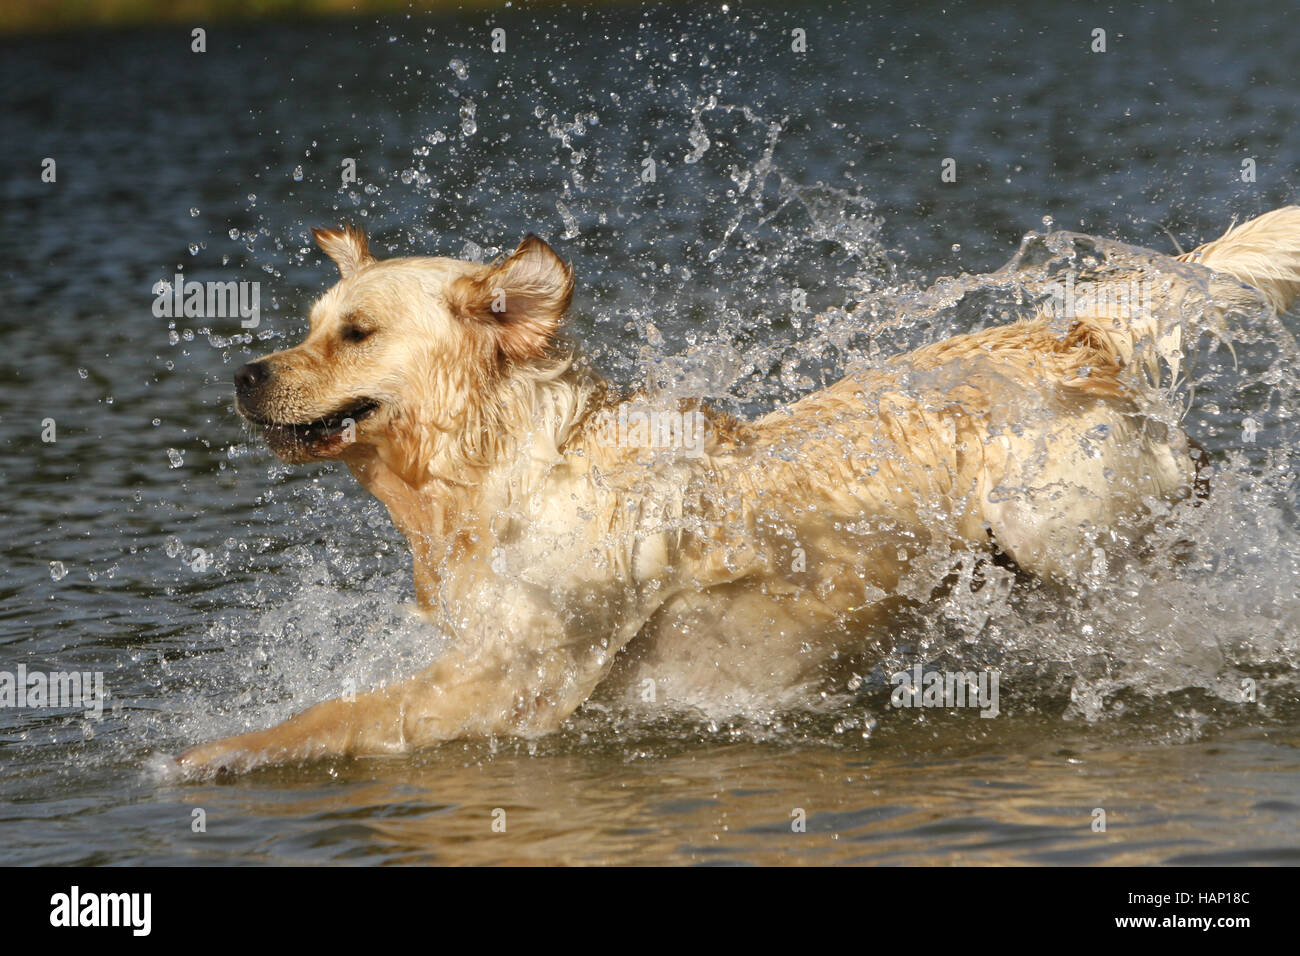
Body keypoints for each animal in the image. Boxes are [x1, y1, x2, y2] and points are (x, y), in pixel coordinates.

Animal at [180, 205, 1300, 775]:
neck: (503, 470)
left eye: (354, 333)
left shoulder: (513, 674)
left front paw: (206, 755)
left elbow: (338, 713)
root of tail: (1079, 331)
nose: (243, 373)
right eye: (310, 323)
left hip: (1055, 522)